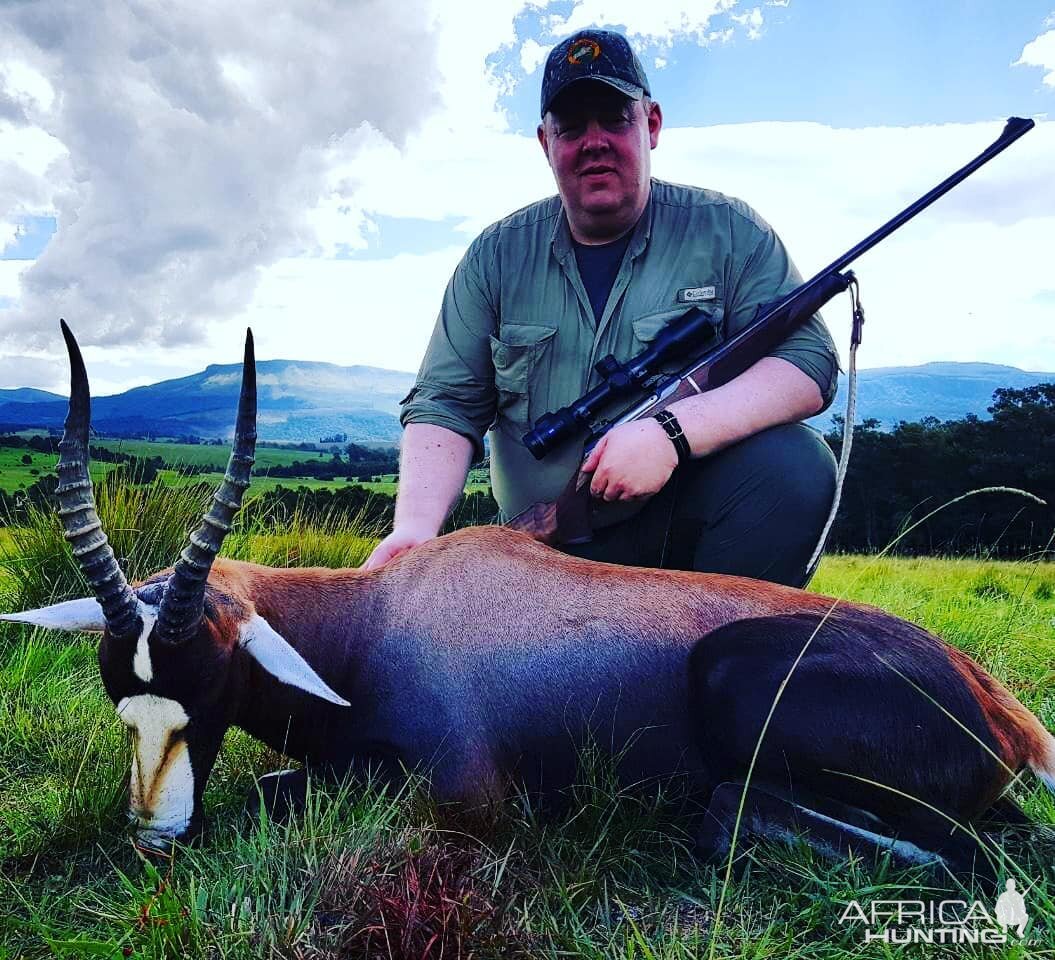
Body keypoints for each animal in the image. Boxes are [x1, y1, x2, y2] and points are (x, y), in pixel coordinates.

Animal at [6, 324, 1055, 873]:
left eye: (211, 680)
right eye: (121, 691)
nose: (155, 838)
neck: (375, 620)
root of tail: (998, 705)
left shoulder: (462, 796)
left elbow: (270, 791)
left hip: (736, 682)